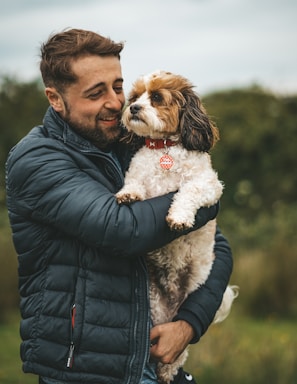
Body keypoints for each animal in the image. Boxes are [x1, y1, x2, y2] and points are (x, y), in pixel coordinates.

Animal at [115, 70, 236, 382]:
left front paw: (179, 217)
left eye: (157, 98)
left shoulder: (209, 184)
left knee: (177, 355)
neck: (163, 148)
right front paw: (128, 194)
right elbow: (134, 184)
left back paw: (168, 372)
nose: (133, 108)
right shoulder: (139, 176)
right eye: (135, 97)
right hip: (155, 308)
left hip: (188, 301)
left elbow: (187, 191)